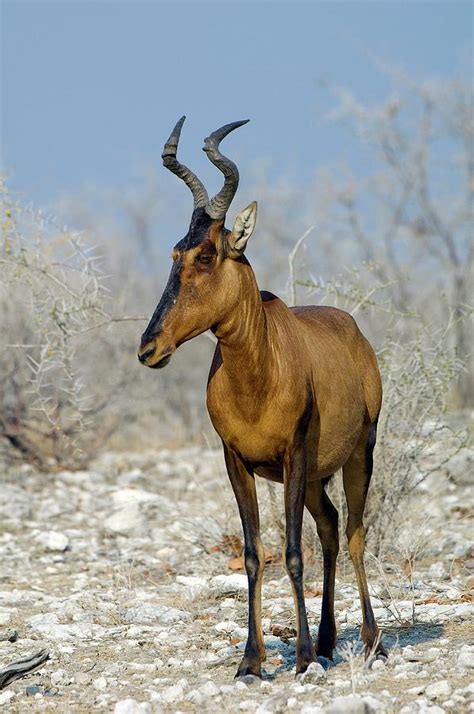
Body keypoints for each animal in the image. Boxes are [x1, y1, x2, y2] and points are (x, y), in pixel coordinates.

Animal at [136, 117, 386, 672]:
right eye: (175, 252)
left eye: (208, 253)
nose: (149, 347)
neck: (258, 372)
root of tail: (355, 331)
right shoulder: (236, 462)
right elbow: (254, 555)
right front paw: (251, 661)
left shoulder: (293, 454)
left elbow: (290, 552)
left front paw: (302, 658)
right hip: (314, 476)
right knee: (330, 527)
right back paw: (331, 639)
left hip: (358, 452)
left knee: (355, 532)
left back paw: (370, 641)